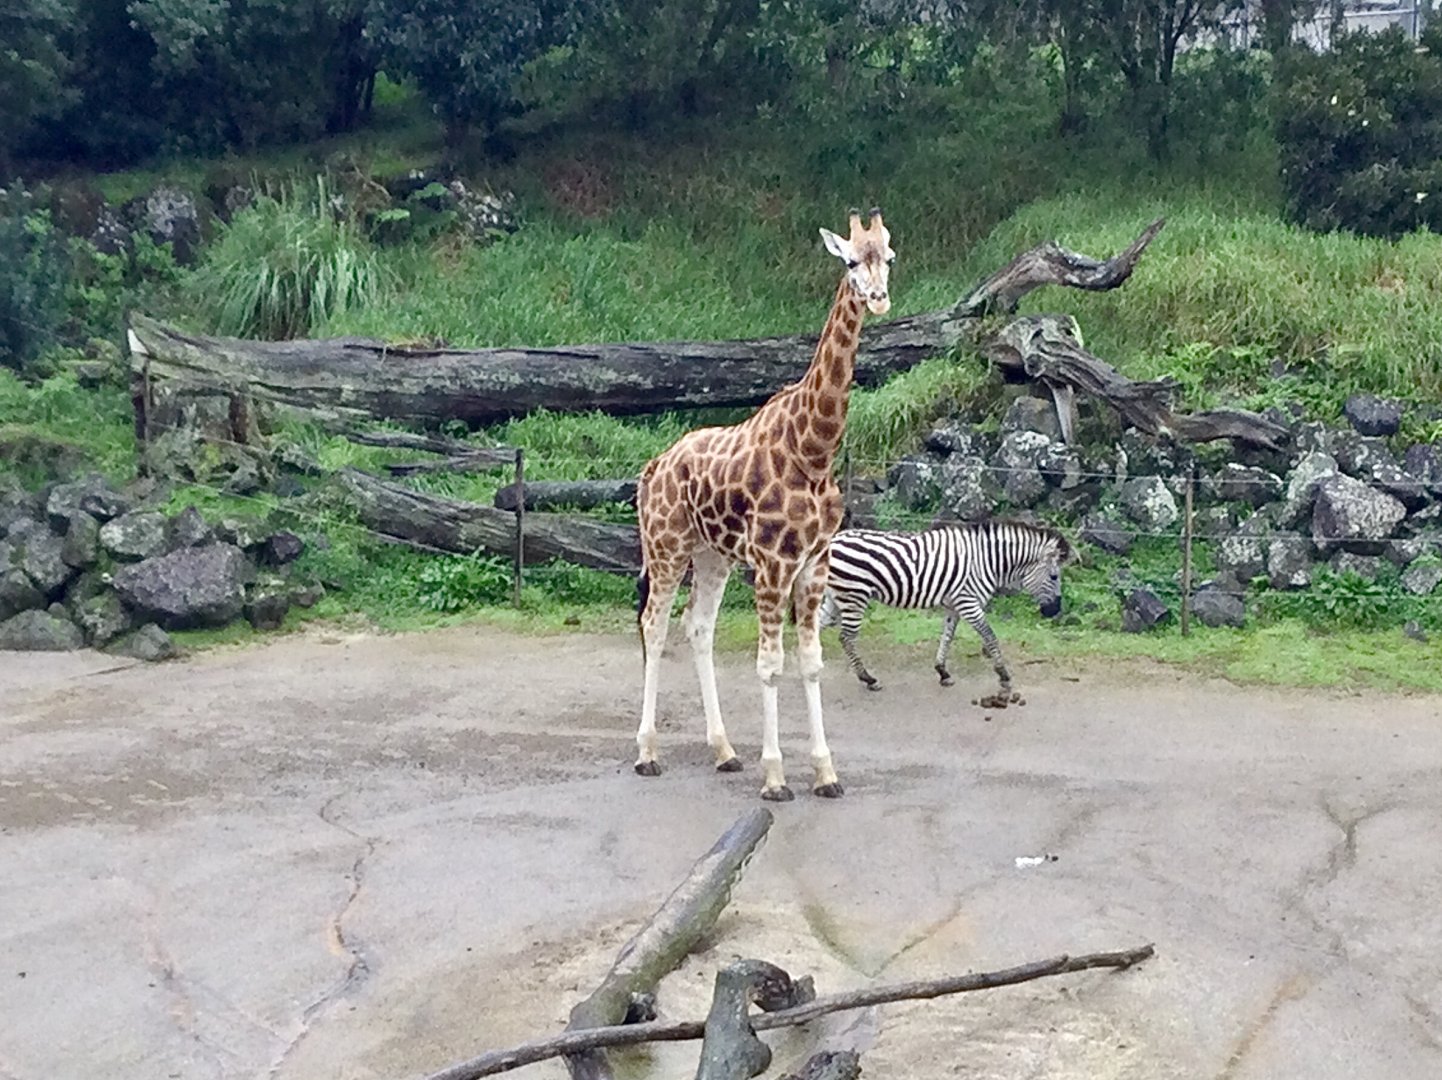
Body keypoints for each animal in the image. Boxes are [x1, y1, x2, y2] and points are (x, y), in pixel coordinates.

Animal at [633, 207, 896, 801]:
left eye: (888, 258)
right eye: (850, 261)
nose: (878, 297)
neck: (814, 450)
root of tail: (654, 466)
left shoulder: (815, 563)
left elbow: (812, 663)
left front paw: (825, 773)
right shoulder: (773, 565)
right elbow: (771, 666)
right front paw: (775, 777)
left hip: (711, 555)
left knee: (697, 626)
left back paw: (725, 751)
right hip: (665, 547)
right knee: (653, 625)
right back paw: (647, 753)